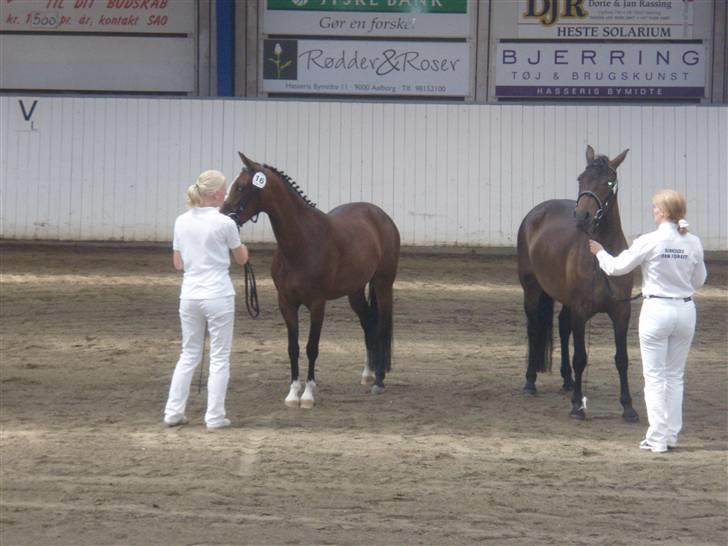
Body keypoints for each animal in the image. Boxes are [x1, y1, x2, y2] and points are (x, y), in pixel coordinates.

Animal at [222, 151, 404, 406]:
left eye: (240, 187)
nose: (222, 216)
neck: (303, 242)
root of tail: (381, 216)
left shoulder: (317, 304)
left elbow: (312, 347)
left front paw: (307, 394)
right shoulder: (286, 303)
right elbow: (293, 348)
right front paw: (292, 394)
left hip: (383, 284)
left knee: (381, 325)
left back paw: (378, 381)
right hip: (355, 291)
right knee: (368, 322)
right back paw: (367, 374)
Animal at [516, 144, 636, 420]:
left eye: (609, 181)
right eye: (581, 179)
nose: (582, 217)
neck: (602, 258)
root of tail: (534, 214)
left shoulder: (621, 311)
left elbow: (622, 358)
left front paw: (628, 407)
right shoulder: (581, 311)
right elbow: (581, 356)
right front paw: (577, 407)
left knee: (562, 327)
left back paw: (568, 381)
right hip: (532, 289)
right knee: (534, 328)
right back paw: (530, 382)